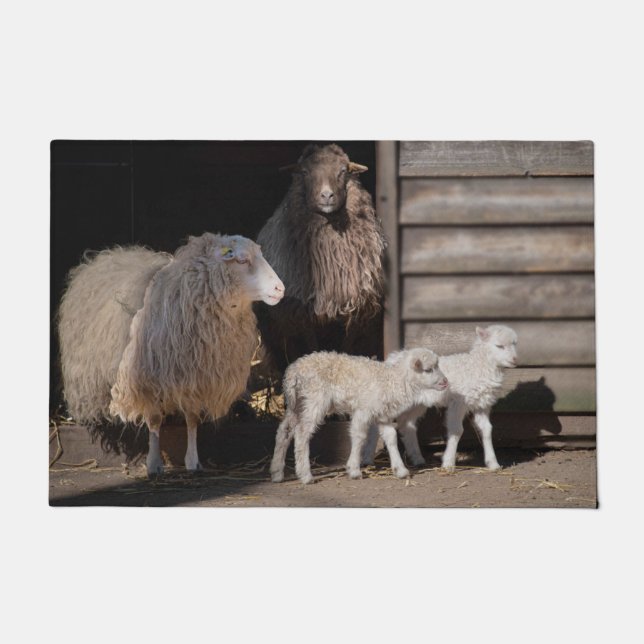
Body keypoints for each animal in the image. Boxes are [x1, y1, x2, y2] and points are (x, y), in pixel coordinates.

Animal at [58, 232, 285, 477]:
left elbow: (192, 419)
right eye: (242, 260)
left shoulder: (196, 378)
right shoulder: (147, 379)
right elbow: (154, 419)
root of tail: (105, 255)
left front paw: (193, 461)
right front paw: (154, 463)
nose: (280, 289)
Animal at [256, 143, 386, 372]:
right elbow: (311, 346)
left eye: (343, 170)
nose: (327, 195)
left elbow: (346, 345)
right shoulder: (302, 311)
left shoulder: (357, 305)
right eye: (305, 172)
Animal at [270, 348, 449, 485]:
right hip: (315, 399)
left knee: (284, 431)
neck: (392, 380)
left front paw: (400, 470)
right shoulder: (363, 410)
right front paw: (354, 469)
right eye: (428, 369)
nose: (445, 382)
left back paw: (277, 472)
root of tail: (293, 371)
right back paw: (305, 476)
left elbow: (391, 437)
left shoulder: (382, 414)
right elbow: (359, 437)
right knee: (302, 433)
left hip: (297, 403)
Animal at [362, 325, 518, 471]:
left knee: (406, 424)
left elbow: (487, 430)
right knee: (378, 427)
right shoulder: (458, 402)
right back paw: (368, 459)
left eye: (515, 344)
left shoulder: (482, 403)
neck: (478, 366)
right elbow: (457, 430)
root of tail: (392, 358)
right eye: (499, 346)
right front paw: (448, 463)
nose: (515, 360)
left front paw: (493, 463)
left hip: (416, 404)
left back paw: (417, 458)